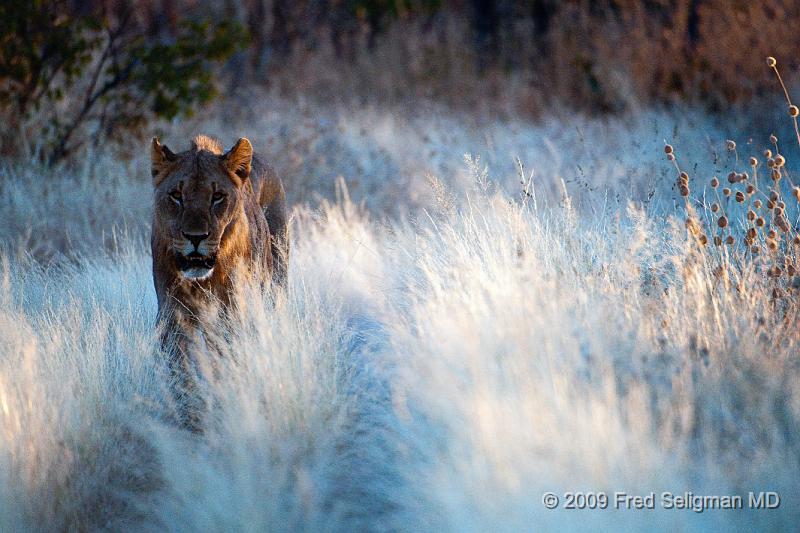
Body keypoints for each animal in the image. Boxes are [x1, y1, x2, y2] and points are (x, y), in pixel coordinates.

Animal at [150, 134, 288, 428]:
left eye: (217, 197)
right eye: (176, 196)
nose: (195, 237)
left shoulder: (231, 311)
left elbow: (225, 359)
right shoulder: (173, 312)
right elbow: (182, 367)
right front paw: (190, 416)